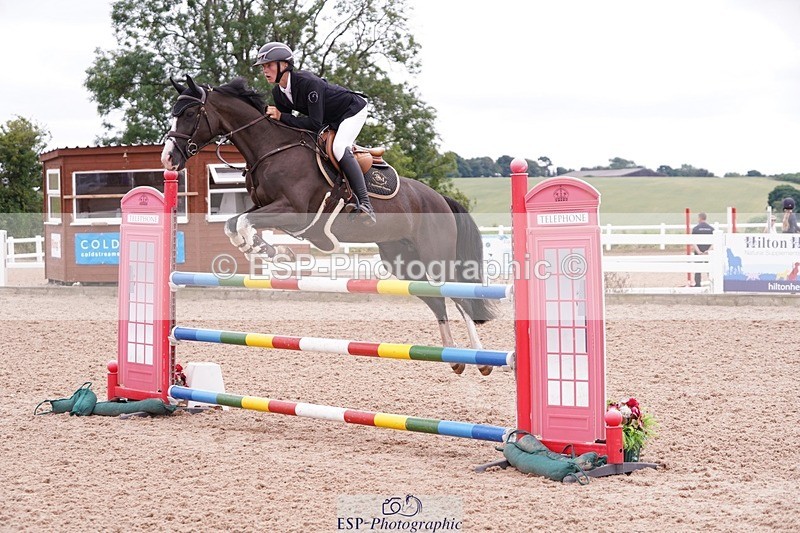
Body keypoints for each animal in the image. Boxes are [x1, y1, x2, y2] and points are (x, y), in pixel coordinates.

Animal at [160, 76, 497, 375]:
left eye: (188, 113)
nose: (168, 159)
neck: (271, 148)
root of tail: (440, 199)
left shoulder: (295, 212)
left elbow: (242, 221)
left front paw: (269, 251)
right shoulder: (266, 208)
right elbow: (234, 223)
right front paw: (268, 250)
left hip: (434, 256)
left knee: (459, 296)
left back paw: (481, 360)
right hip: (402, 261)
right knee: (437, 299)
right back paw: (454, 358)